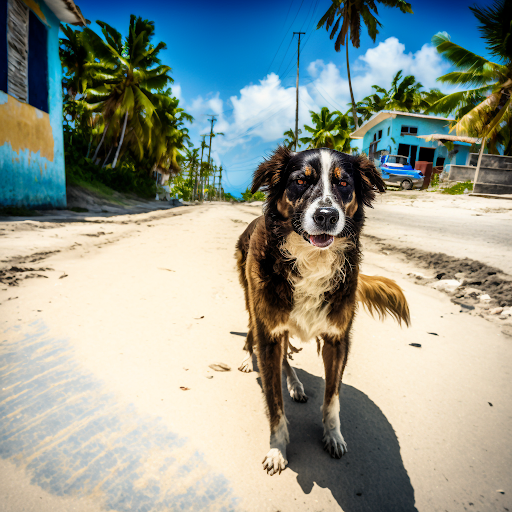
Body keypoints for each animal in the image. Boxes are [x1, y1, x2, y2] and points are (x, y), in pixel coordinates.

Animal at [235, 146, 408, 474]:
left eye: (343, 184)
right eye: (301, 181)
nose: (326, 216)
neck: (311, 258)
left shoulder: (337, 340)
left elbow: (332, 397)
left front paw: (333, 436)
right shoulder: (269, 332)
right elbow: (274, 403)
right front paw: (277, 448)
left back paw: (295, 384)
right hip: (252, 302)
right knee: (251, 332)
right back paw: (246, 360)